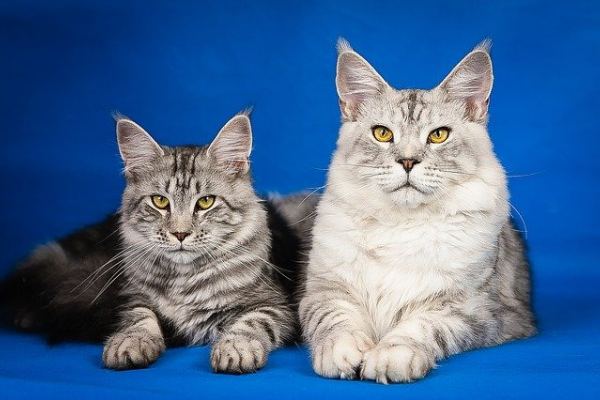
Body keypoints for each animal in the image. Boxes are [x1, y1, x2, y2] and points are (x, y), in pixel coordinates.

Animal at [1, 111, 318, 372]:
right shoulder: (132, 296)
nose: (180, 233)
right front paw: (129, 343)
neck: (184, 281)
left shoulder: (275, 304)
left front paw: (235, 348)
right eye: (160, 202)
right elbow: (140, 317)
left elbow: (251, 322)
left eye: (205, 202)